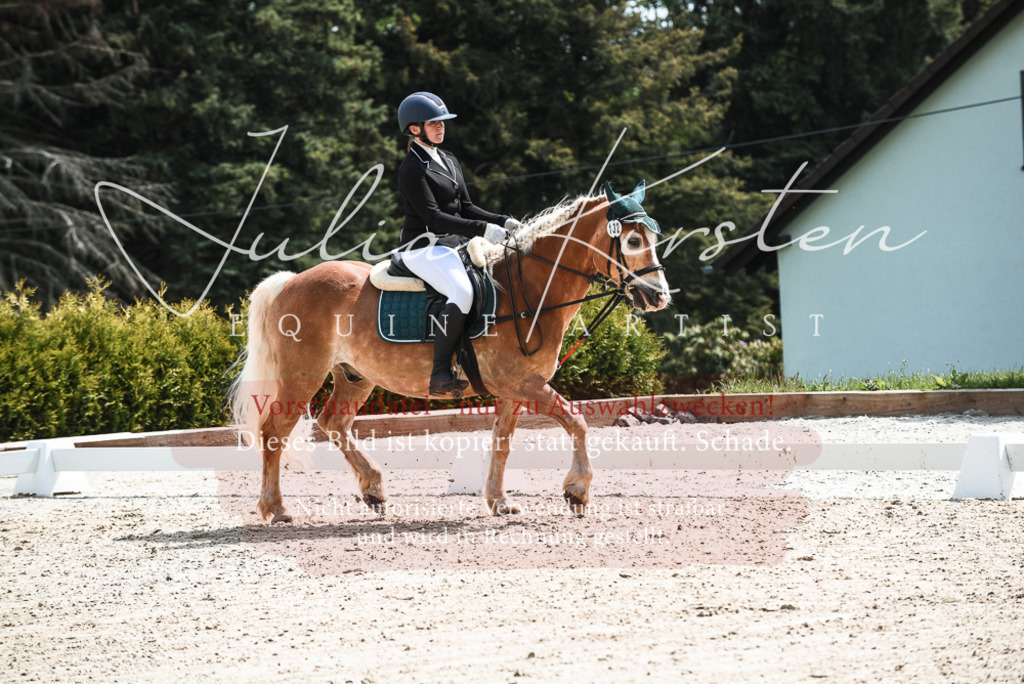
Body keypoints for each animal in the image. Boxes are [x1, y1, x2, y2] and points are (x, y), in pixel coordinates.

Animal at [228, 181, 672, 523]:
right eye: (633, 240)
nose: (659, 297)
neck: (528, 288)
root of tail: (290, 281)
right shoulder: (524, 384)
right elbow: (577, 422)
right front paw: (576, 492)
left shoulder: (514, 389)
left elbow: (502, 441)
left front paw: (499, 501)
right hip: (302, 374)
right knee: (274, 432)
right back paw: (276, 509)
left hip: (355, 375)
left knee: (333, 423)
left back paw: (373, 491)